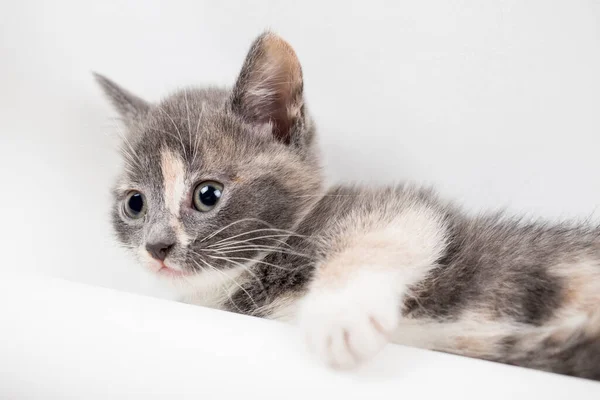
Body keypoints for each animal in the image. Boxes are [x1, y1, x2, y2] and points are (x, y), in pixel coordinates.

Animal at [96, 32, 600, 380]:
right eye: (135, 204)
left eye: (208, 195)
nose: (157, 246)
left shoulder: (402, 208)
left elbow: (378, 236)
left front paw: (339, 320)